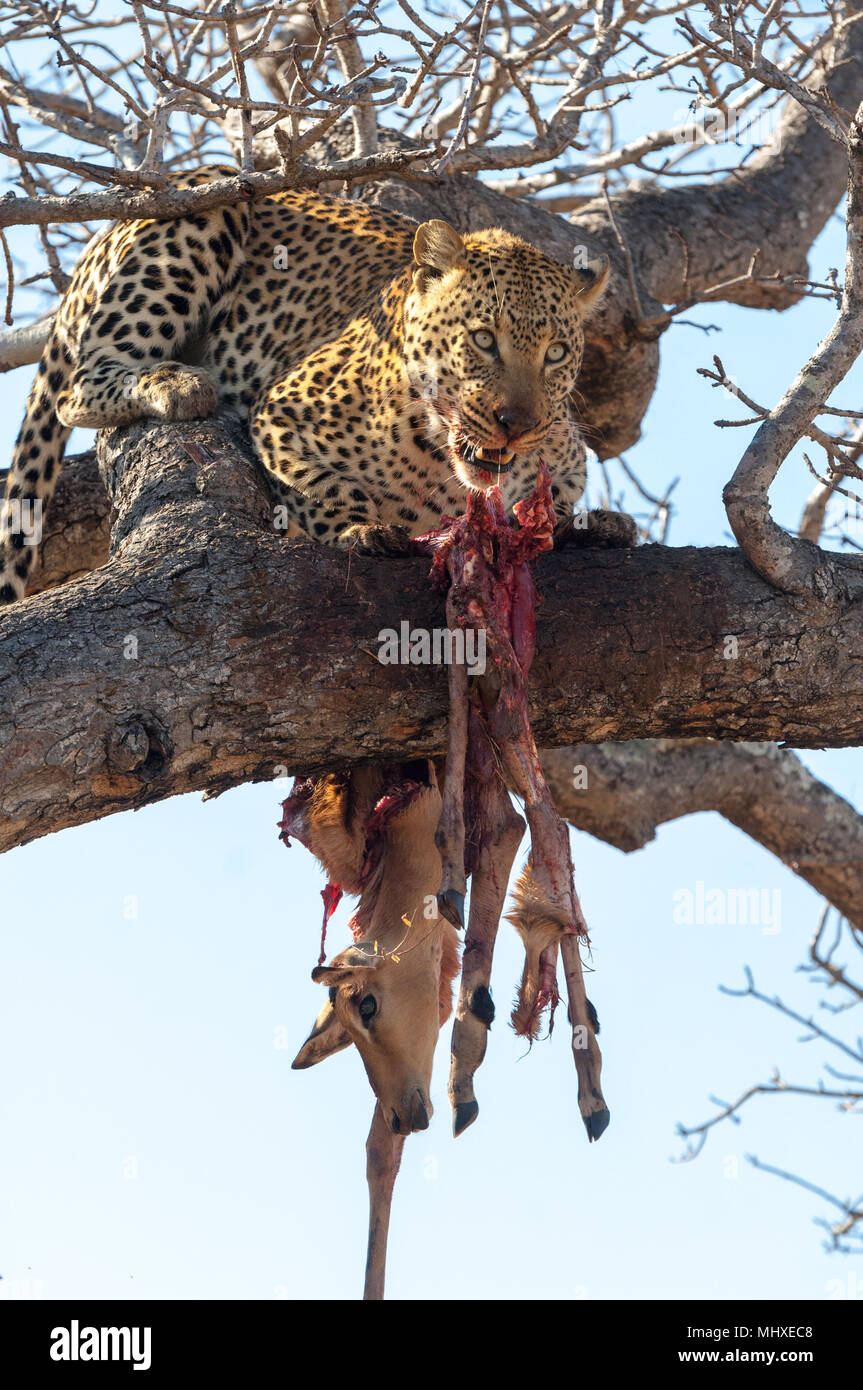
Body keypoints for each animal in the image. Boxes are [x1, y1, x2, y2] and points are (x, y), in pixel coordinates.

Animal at [0, 164, 619, 603]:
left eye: (556, 354)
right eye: (484, 339)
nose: (516, 425)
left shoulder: (566, 459)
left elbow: (556, 500)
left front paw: (590, 526)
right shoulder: (280, 415)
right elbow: (322, 488)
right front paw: (361, 529)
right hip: (207, 211)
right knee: (77, 389)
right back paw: (178, 384)